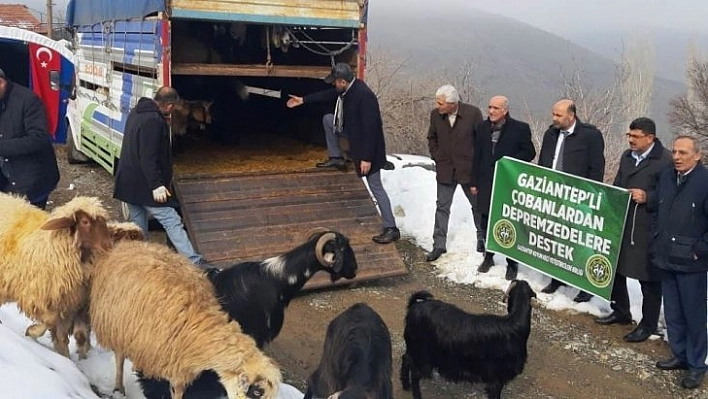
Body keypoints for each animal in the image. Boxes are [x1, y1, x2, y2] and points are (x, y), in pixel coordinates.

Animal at [0, 192, 112, 358]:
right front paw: (31, 331)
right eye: (85, 222)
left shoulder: (68, 305)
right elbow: (49, 321)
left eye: (103, 221)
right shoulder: (37, 297)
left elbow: (62, 337)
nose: (109, 246)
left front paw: (65, 356)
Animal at [90, 239, 284, 399]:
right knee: (119, 356)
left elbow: (179, 390)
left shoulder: (180, 365)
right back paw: (119, 387)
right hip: (115, 324)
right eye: (257, 392)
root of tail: (127, 244)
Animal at [402, 280, 532, 399]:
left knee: (406, 359)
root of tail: (414, 306)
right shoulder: (497, 377)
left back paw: (406, 385)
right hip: (422, 354)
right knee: (414, 372)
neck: (514, 324)